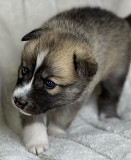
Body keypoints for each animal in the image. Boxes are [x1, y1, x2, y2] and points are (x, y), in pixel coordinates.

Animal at [10, 7, 131, 155]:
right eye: (24, 70)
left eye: (50, 83)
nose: (18, 101)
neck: (71, 30)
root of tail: (121, 19)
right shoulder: (33, 104)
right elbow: (33, 119)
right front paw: (37, 142)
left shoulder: (78, 97)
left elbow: (64, 115)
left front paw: (55, 131)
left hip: (117, 72)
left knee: (110, 95)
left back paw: (109, 116)